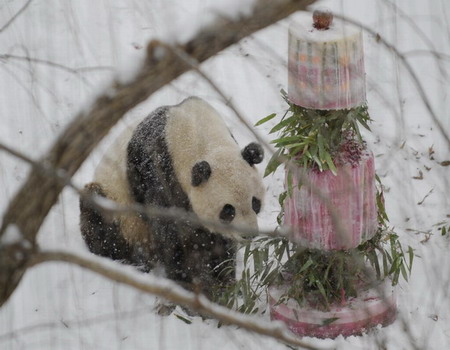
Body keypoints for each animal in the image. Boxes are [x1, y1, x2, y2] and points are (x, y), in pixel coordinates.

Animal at [79, 96, 266, 298]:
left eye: (255, 203)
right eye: (228, 210)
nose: (248, 234)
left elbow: (218, 240)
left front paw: (225, 279)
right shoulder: (157, 171)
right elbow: (171, 232)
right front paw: (191, 282)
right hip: (117, 205)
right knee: (100, 218)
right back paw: (130, 262)